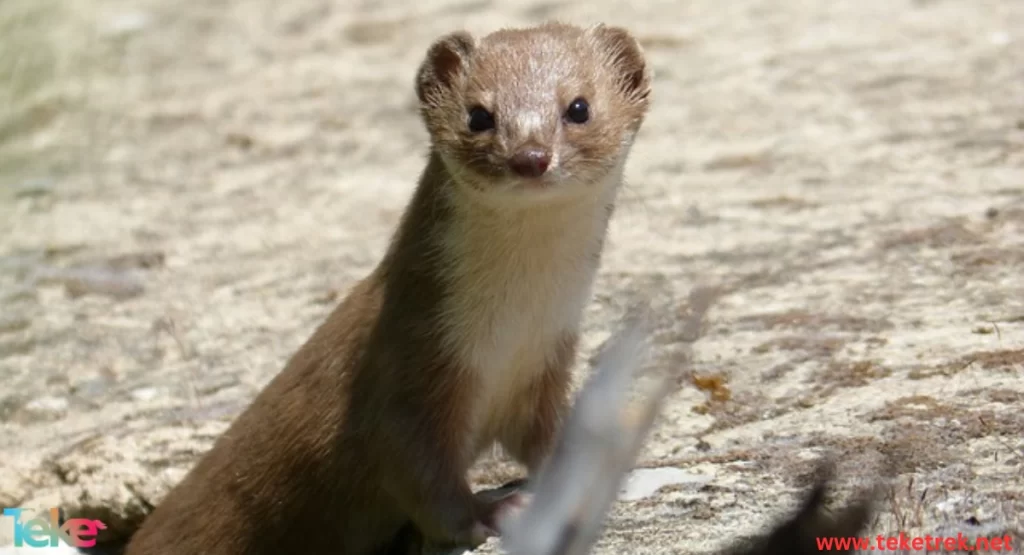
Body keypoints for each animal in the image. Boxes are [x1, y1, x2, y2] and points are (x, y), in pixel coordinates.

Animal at [119, 21, 647, 555]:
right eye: (479, 115)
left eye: (578, 107)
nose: (531, 157)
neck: (512, 323)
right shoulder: (407, 365)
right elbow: (419, 476)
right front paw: (492, 511)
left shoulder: (546, 359)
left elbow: (547, 438)